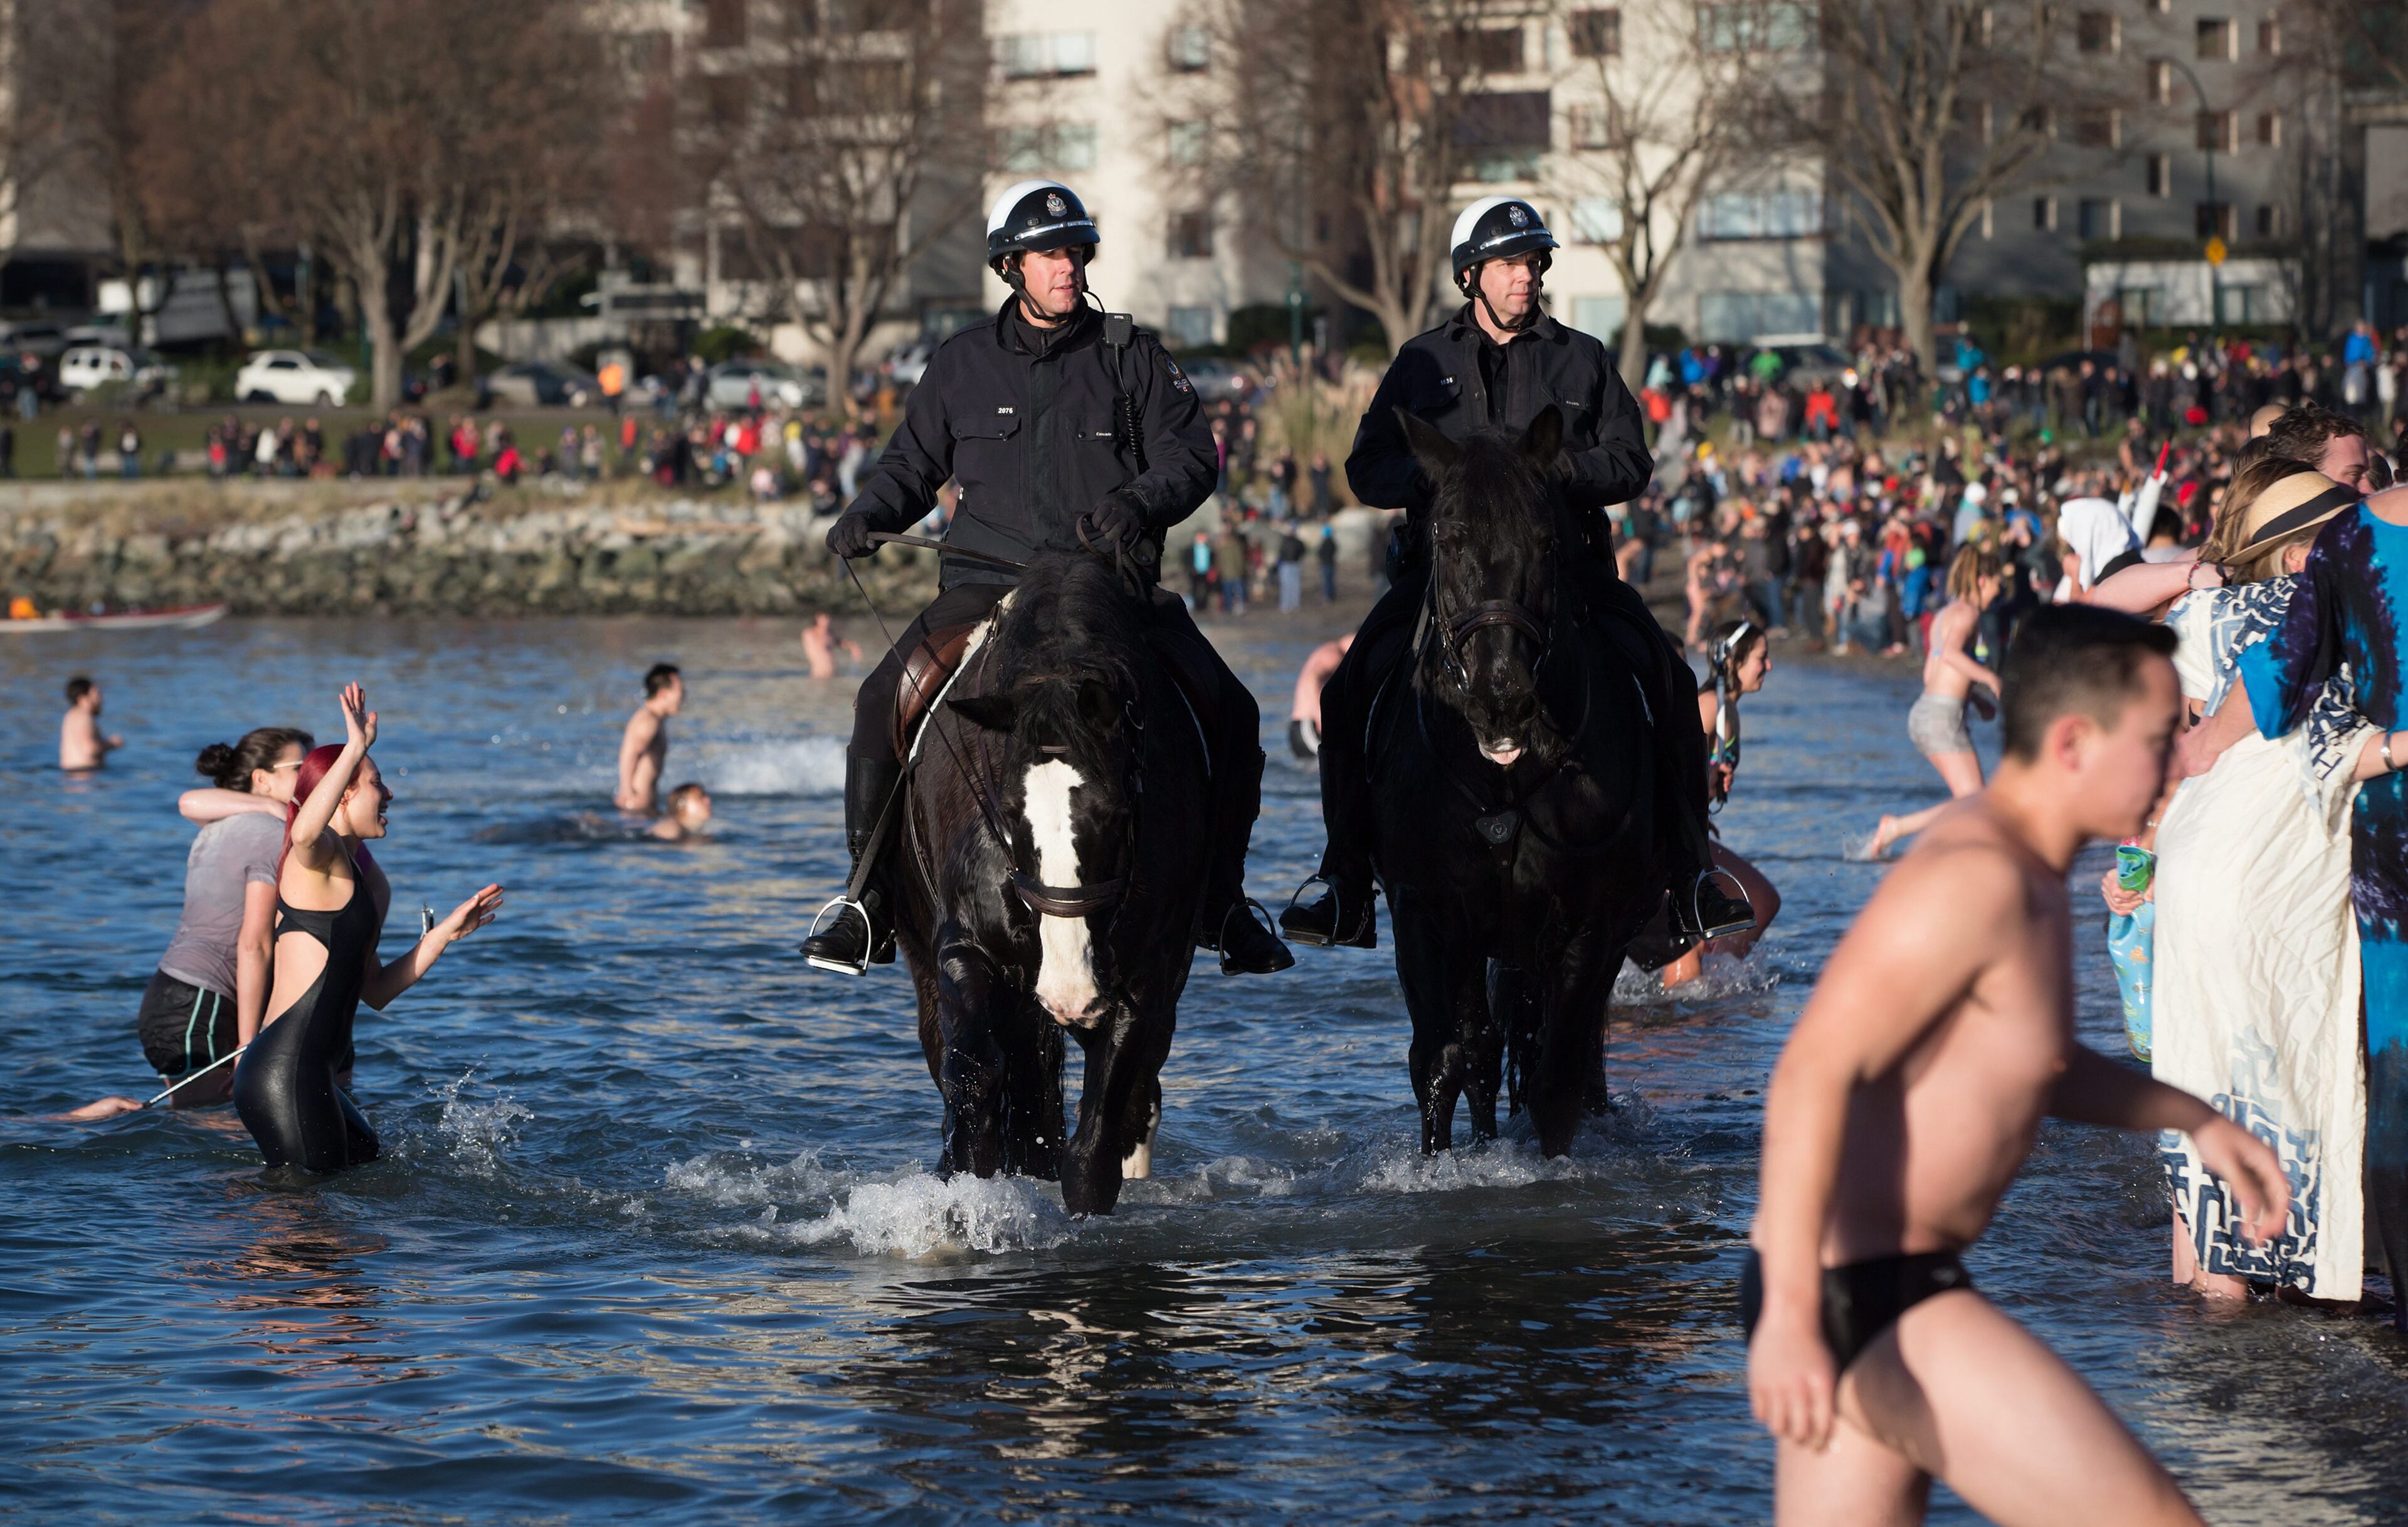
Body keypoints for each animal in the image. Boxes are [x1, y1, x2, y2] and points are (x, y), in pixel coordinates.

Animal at [892, 549, 1214, 1215]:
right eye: (1010, 811)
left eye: (1115, 813)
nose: (1068, 989)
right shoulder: (966, 950)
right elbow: (974, 1077)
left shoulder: (1148, 975)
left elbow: (1098, 1136)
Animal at [1367, 405, 1672, 1157]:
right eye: (1447, 539)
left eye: (1544, 540)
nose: (1499, 697)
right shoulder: (1424, 908)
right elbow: (1442, 1059)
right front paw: (1443, 1166)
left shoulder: (1591, 922)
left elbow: (1554, 1084)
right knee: (1481, 1047)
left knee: (1568, 1052)